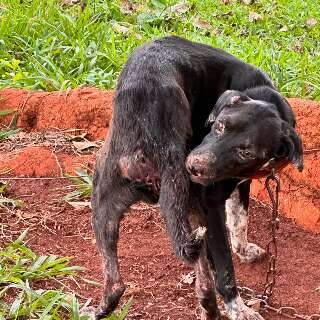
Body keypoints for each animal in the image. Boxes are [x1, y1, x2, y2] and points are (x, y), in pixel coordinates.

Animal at [90, 36, 302, 318]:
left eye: (246, 152)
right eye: (219, 126)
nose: (194, 167)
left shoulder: (238, 184)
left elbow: (239, 219)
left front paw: (243, 249)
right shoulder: (211, 203)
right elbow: (225, 264)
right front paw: (236, 305)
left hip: (111, 204)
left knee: (118, 284)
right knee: (212, 274)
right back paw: (234, 307)